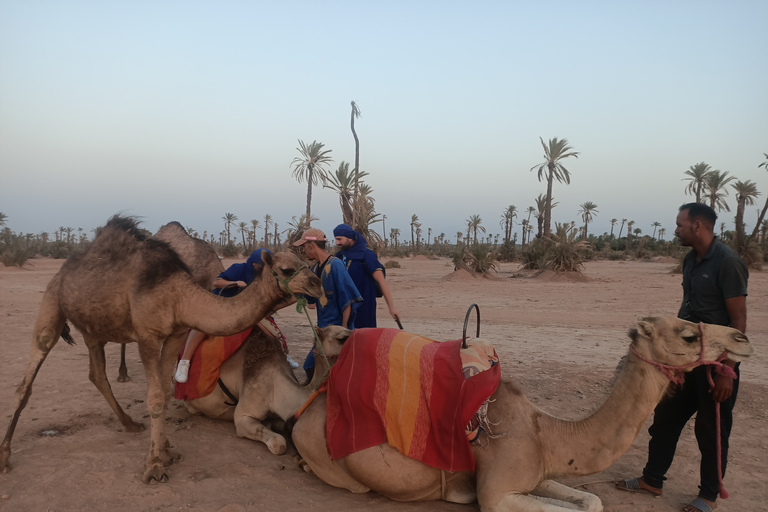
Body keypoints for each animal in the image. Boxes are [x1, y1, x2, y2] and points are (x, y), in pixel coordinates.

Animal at [292, 318, 752, 510]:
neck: (544, 433)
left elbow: (592, 500)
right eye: (689, 335)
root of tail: (313, 400)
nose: (743, 338)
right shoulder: (497, 494)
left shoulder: (538, 474)